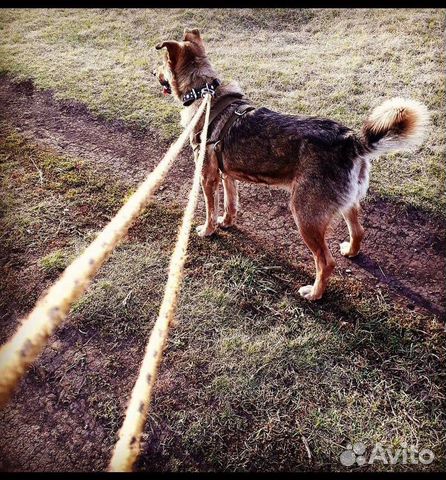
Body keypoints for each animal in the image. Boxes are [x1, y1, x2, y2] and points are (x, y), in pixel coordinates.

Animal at [153, 27, 428, 300]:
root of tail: (349, 139)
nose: (153, 73)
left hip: (305, 216)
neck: (204, 93)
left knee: (326, 262)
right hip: (347, 203)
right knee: (358, 231)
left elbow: (211, 209)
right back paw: (350, 251)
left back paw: (314, 293)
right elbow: (231, 203)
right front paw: (227, 222)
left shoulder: (207, 177)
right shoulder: (226, 175)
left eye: (162, 65)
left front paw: (208, 230)